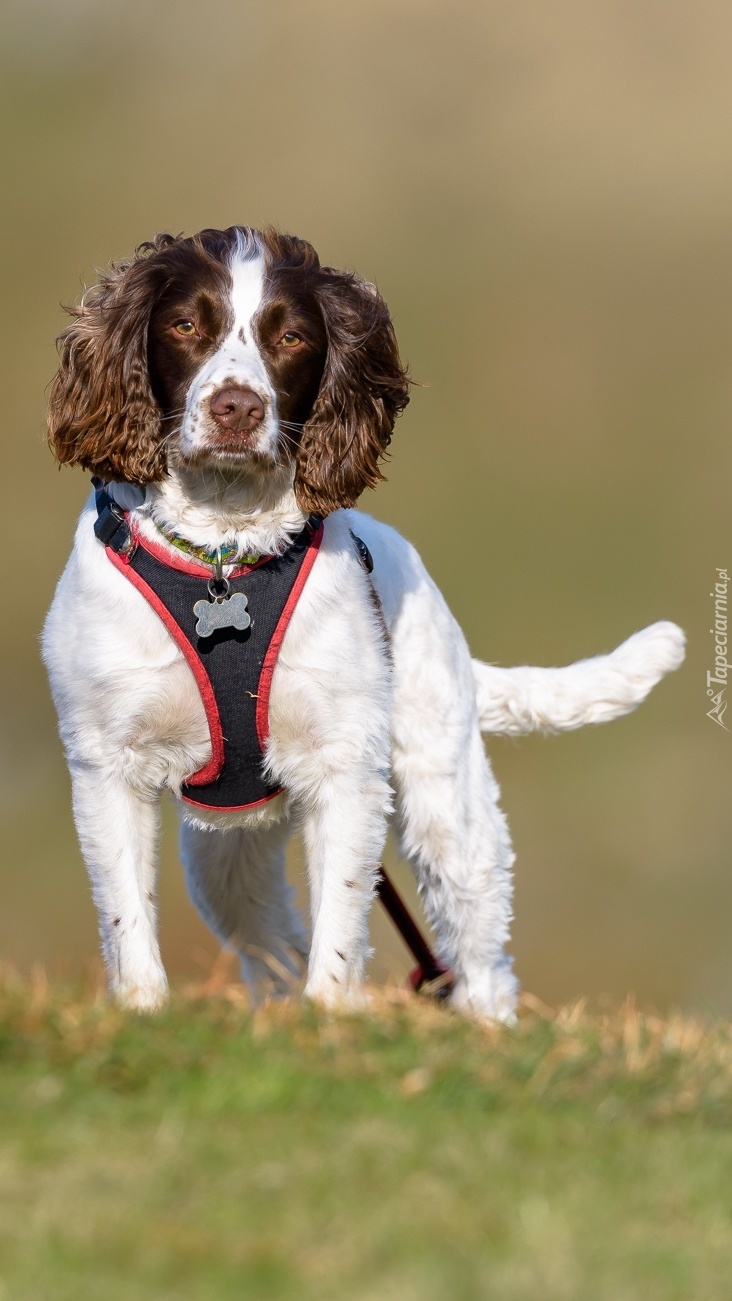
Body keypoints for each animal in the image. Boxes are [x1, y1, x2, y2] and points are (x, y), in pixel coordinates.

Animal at [42, 223, 686, 1019]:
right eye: (185, 326)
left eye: (291, 336)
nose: (236, 409)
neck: (225, 553)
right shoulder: (107, 763)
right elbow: (127, 914)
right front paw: (144, 1011)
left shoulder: (345, 764)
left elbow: (342, 918)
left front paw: (332, 1016)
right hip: (226, 847)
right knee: (272, 938)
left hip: (447, 803)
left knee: (480, 949)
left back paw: (484, 1024)